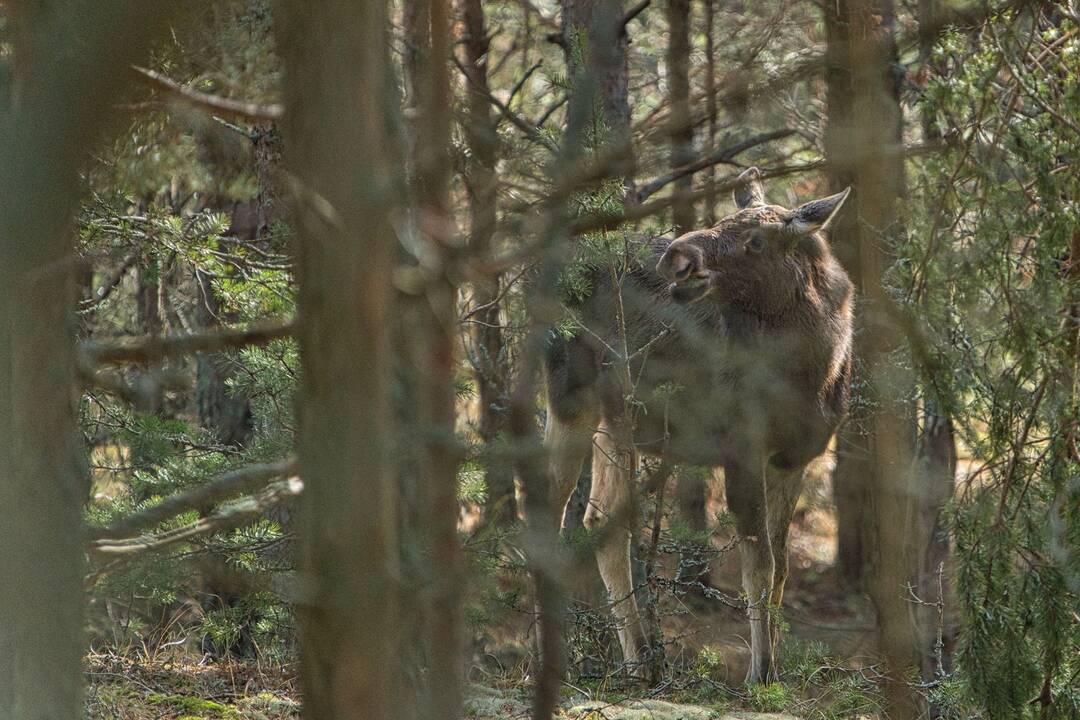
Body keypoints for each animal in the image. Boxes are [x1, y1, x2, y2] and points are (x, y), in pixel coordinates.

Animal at [540, 167, 851, 682]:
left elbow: (782, 568)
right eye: (723, 220)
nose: (677, 258)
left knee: (600, 518)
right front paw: (759, 674)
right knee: (550, 506)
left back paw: (638, 661)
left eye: (755, 241)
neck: (811, 374)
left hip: (617, 417)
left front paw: (774, 668)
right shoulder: (742, 445)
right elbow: (759, 566)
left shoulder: (797, 458)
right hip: (569, 397)